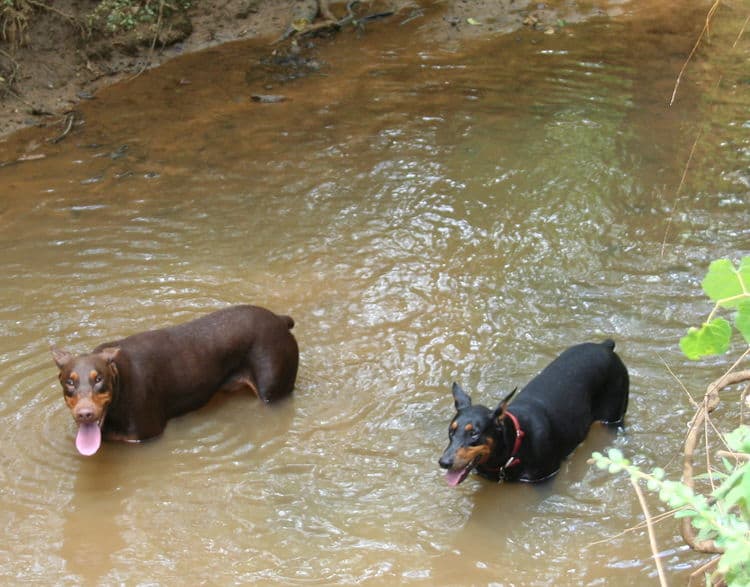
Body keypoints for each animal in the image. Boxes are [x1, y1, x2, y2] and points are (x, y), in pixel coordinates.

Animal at [50, 306, 300, 458]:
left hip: (274, 390)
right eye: (69, 382)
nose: (85, 414)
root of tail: (280, 320)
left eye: (99, 379)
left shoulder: (147, 437)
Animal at [438, 340, 632, 486]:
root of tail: (605, 346)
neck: (513, 448)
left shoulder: (544, 479)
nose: (443, 462)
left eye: (474, 434)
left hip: (613, 415)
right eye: (450, 431)